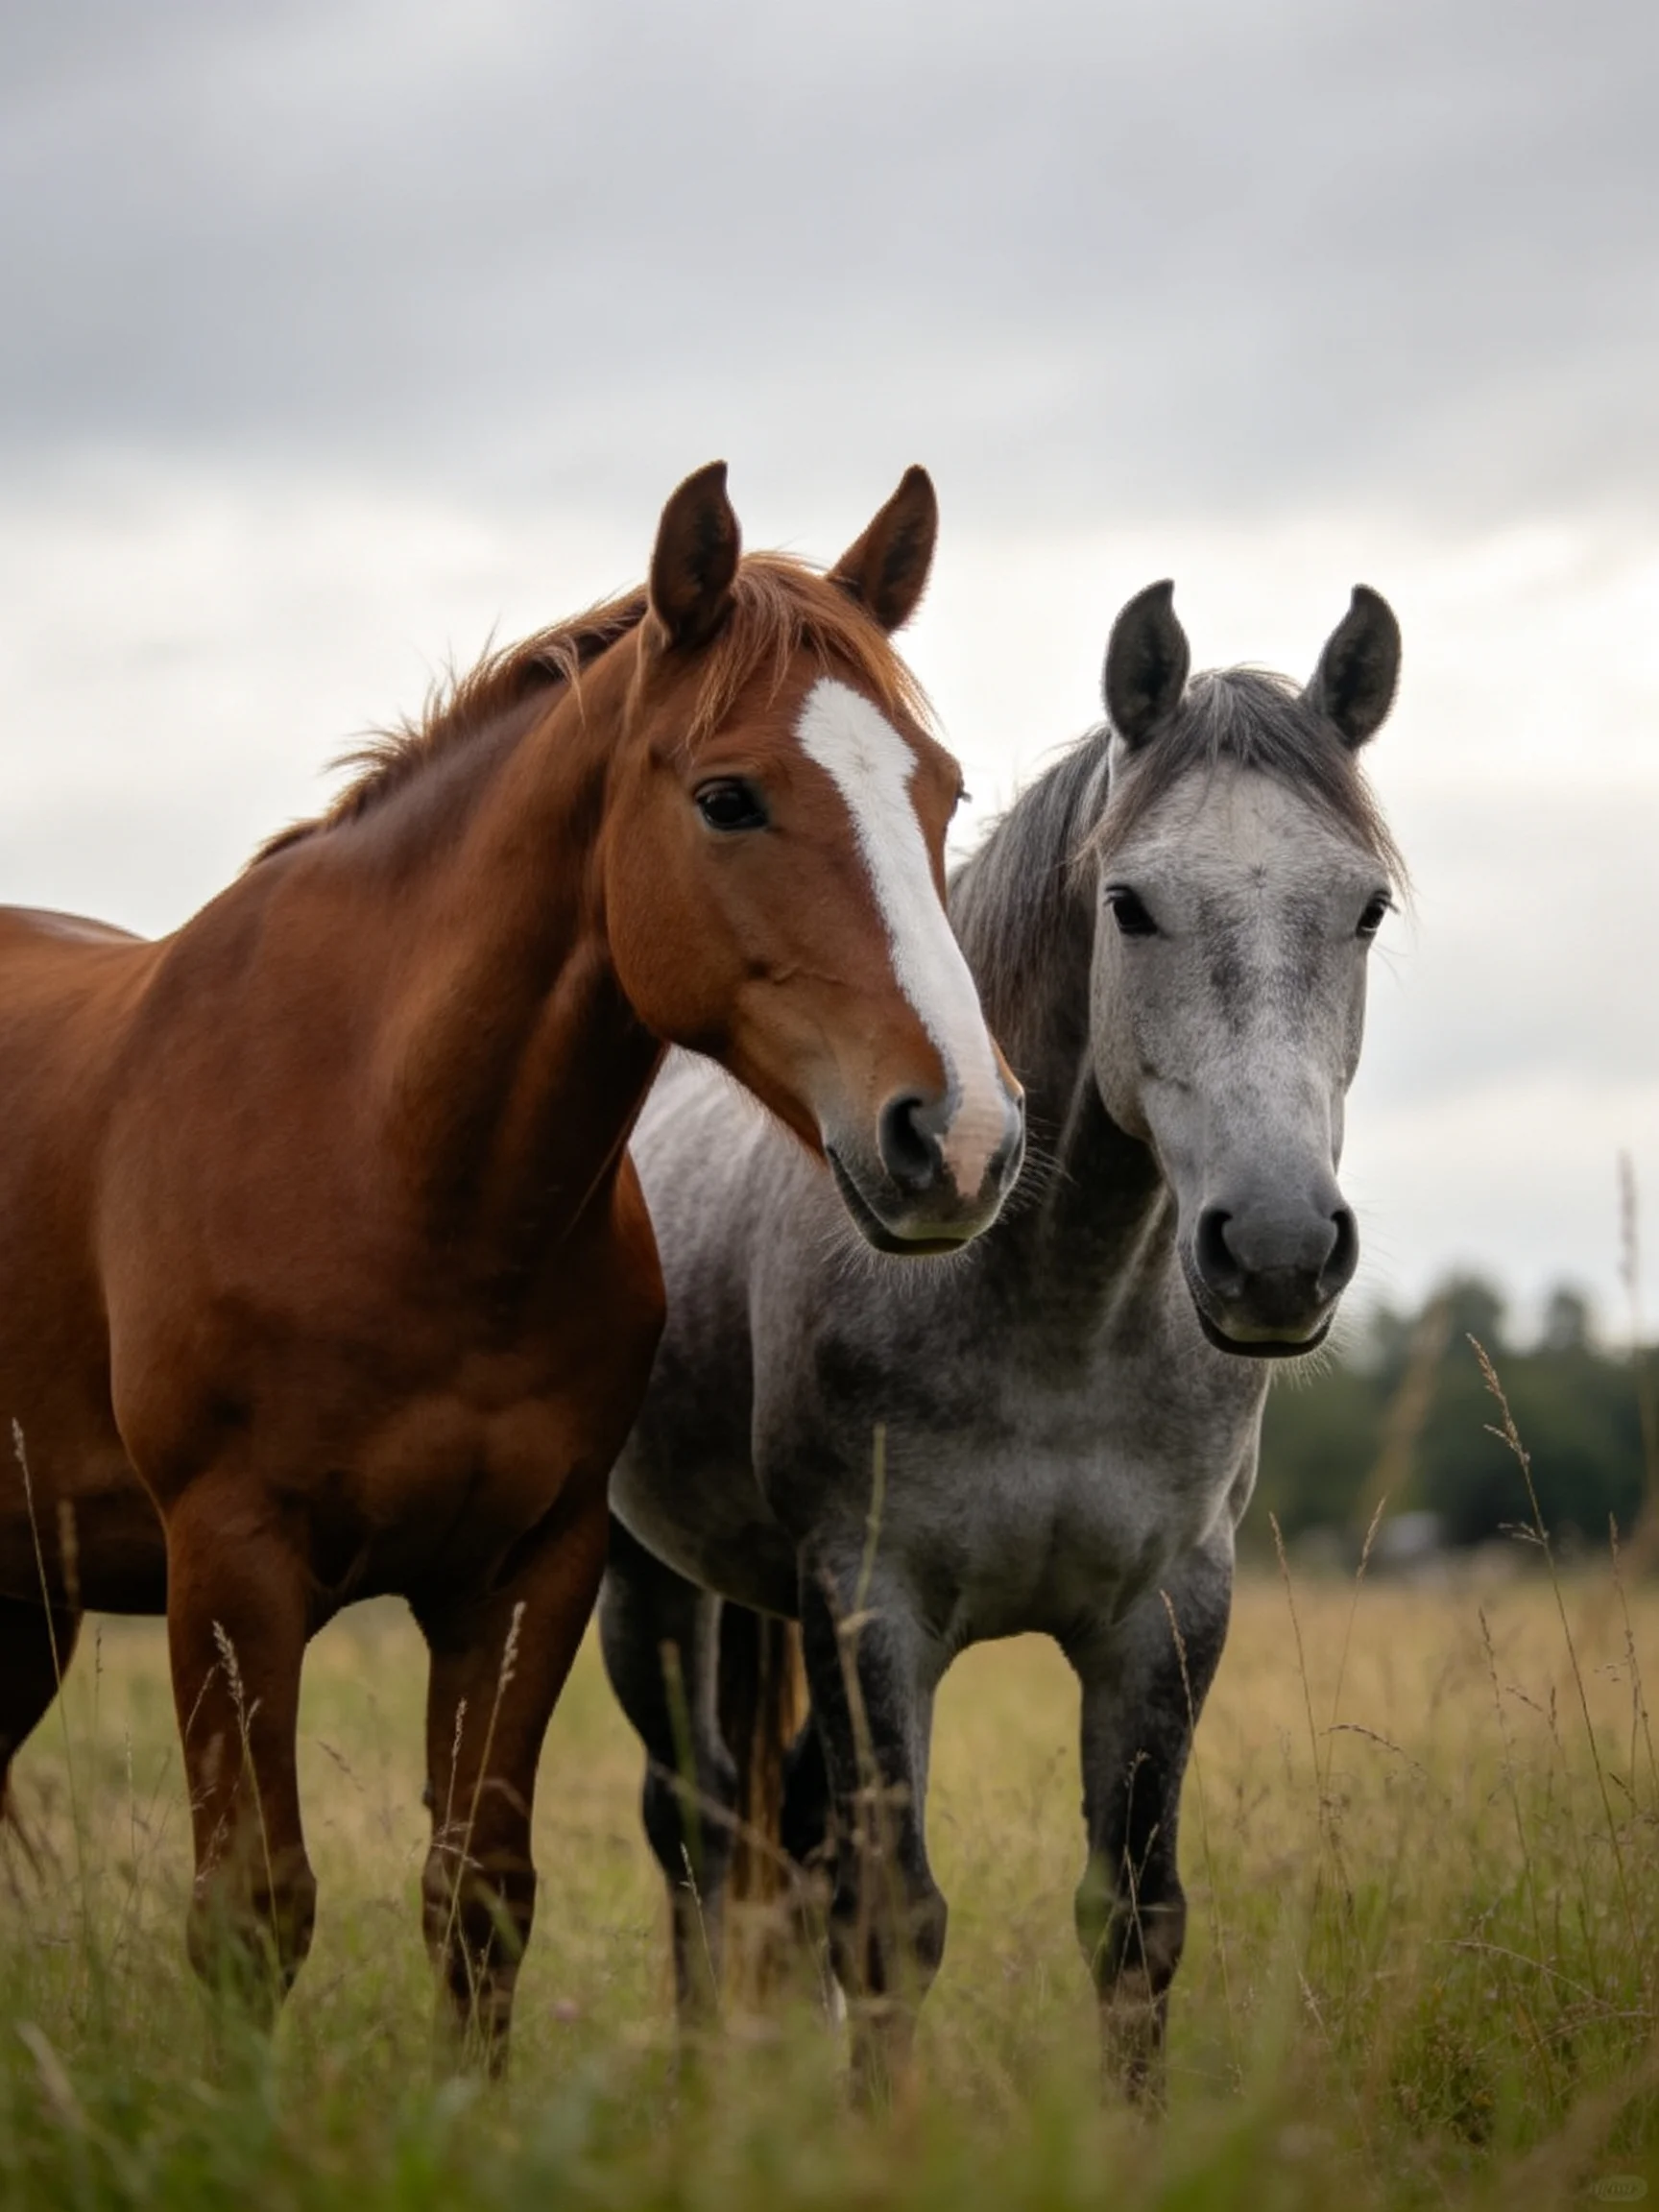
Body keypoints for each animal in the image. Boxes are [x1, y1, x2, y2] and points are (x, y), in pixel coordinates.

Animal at [0, 460, 1025, 2065]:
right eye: (727, 797)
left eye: (942, 788)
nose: (963, 1137)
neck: (390, 1160)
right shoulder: (229, 1567)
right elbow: (251, 1913)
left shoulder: (526, 1574)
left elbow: (478, 1903)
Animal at [600, 576, 1404, 2097]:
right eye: (1129, 905)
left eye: (1369, 909)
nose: (1277, 1250)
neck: (1056, 1322)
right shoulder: (874, 1604)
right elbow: (892, 1920)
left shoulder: (1168, 1615)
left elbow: (1138, 1922)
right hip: (648, 1584)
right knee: (695, 1827)